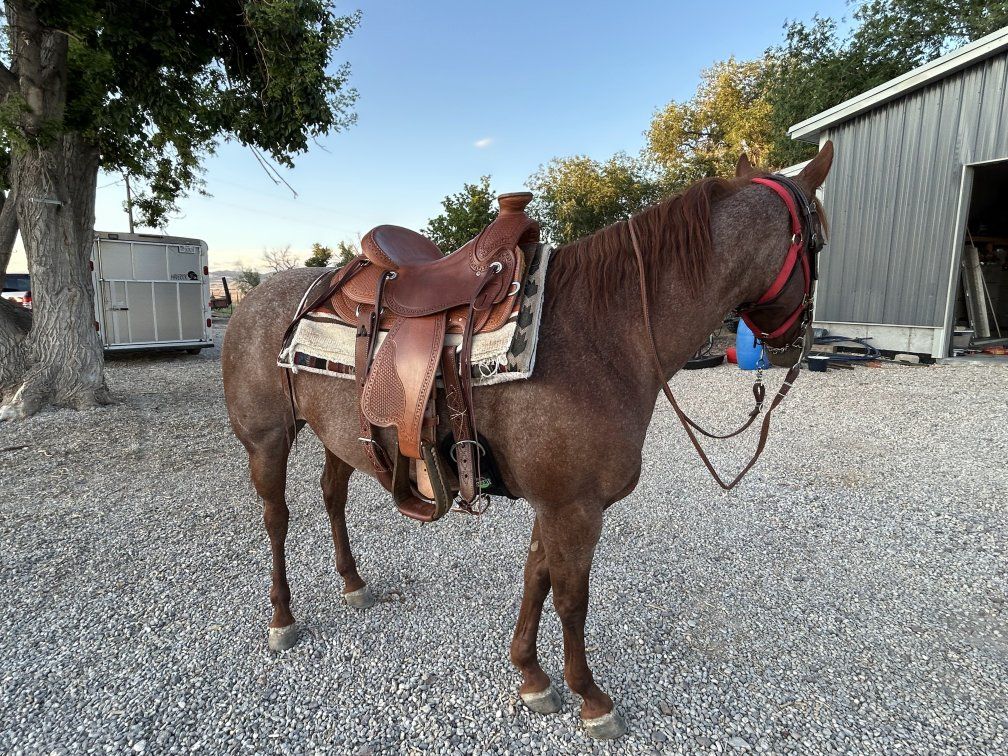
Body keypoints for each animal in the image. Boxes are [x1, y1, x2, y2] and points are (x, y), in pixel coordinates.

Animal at [221, 143, 834, 740]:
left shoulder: (556, 502)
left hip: (340, 437)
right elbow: (571, 598)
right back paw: (282, 619)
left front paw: (532, 676)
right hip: (267, 441)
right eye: (820, 241)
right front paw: (591, 699)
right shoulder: (575, 507)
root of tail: (256, 296)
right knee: (277, 518)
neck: (605, 335)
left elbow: (536, 577)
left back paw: (352, 584)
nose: (793, 344)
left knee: (332, 495)